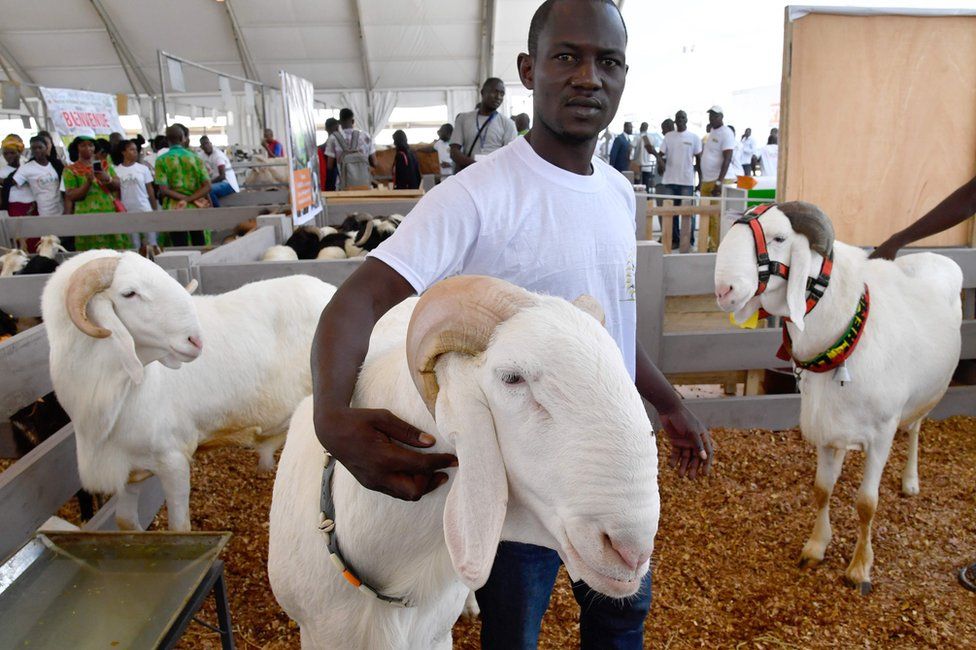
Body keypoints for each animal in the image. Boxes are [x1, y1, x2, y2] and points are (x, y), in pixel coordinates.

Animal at [42, 251, 338, 528]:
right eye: (129, 293)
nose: (195, 340)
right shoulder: (129, 470)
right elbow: (125, 521)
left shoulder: (173, 458)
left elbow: (180, 527)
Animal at [712, 202, 964, 592]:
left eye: (780, 237)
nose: (723, 288)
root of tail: (937, 257)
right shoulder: (826, 430)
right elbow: (821, 490)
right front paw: (815, 548)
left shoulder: (881, 434)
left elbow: (867, 504)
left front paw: (860, 569)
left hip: (924, 397)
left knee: (915, 430)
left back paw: (910, 481)